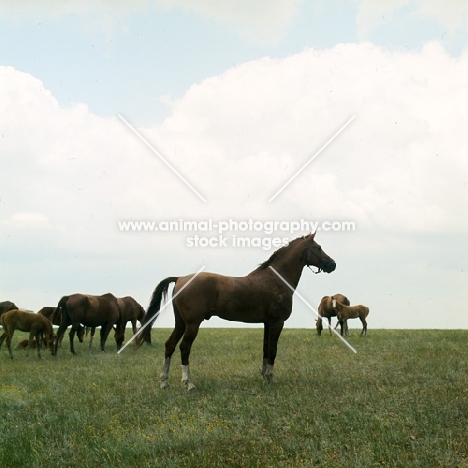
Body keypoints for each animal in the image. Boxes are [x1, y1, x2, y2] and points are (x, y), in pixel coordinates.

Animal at [135, 232, 336, 390]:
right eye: (318, 248)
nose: (332, 264)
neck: (276, 279)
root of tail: (180, 278)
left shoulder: (267, 323)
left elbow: (265, 349)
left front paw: (264, 376)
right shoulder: (277, 322)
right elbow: (272, 350)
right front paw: (270, 377)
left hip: (181, 323)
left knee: (169, 345)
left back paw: (164, 381)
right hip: (192, 324)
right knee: (184, 348)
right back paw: (188, 383)